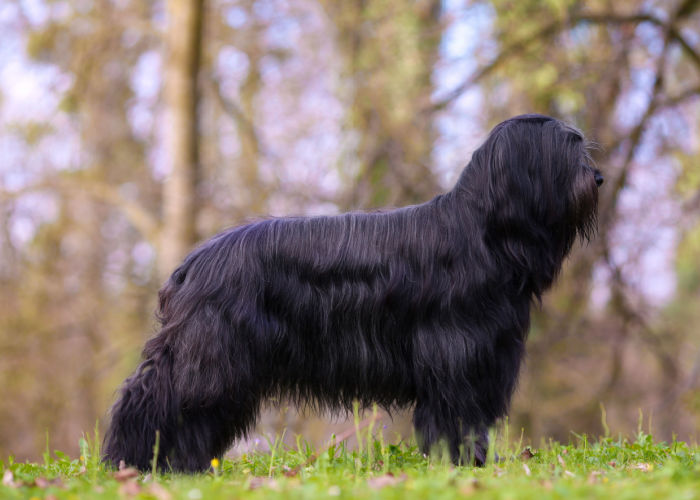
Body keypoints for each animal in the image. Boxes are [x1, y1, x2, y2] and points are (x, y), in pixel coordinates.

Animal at [102, 114, 600, 472]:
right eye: (567, 149)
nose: (597, 177)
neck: (483, 232)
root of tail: (193, 263)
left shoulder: (488, 357)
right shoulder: (456, 354)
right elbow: (454, 413)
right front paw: (458, 463)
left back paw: (184, 464)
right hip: (210, 352)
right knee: (155, 396)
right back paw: (132, 460)